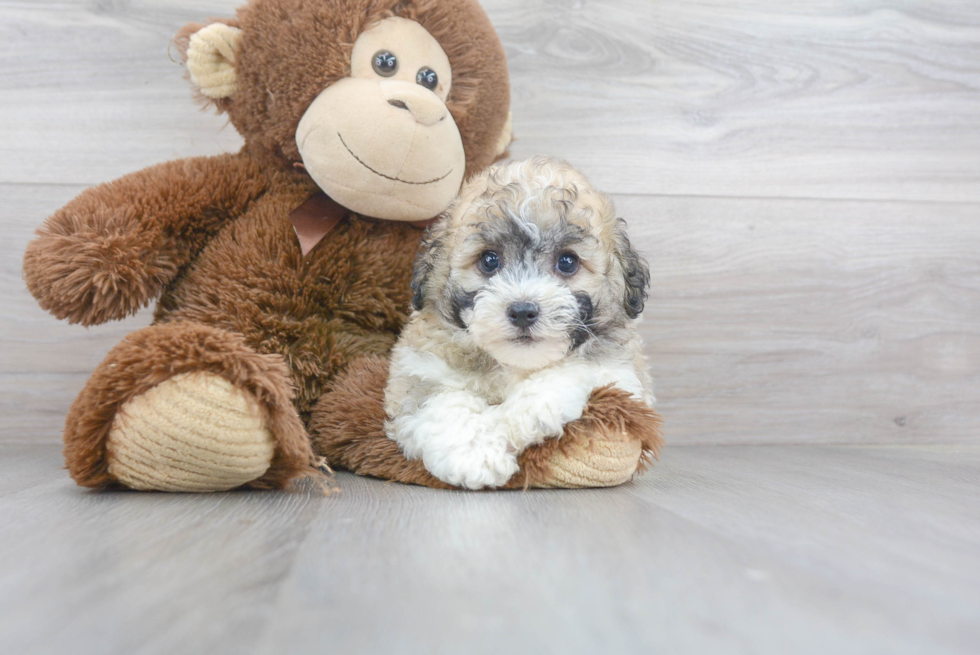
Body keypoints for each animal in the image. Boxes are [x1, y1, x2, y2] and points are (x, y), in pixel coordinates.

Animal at [382, 156, 652, 490]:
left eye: (567, 262)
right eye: (489, 260)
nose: (523, 311)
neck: (512, 364)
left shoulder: (617, 370)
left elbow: (559, 378)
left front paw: (505, 425)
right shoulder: (419, 367)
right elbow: (441, 403)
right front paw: (474, 454)